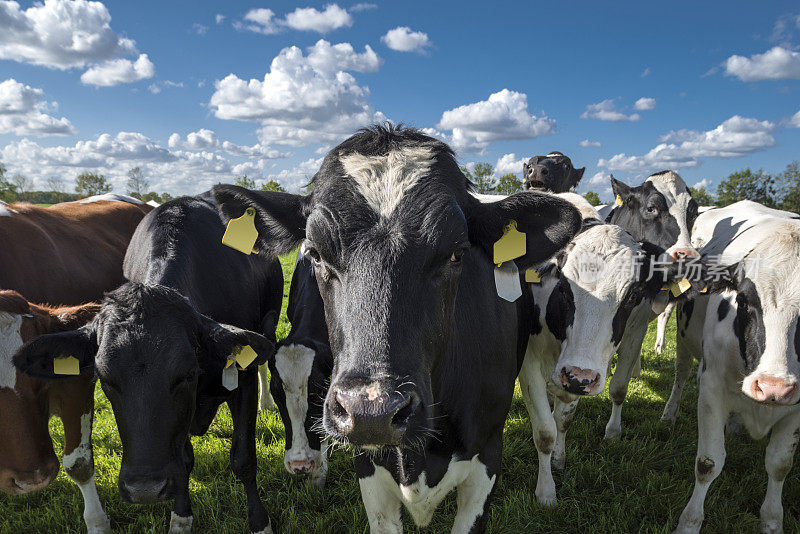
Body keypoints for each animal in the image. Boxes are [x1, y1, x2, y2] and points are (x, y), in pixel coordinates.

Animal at [13, 196, 284, 534]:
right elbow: (183, 462)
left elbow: (244, 458)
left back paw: (267, 403)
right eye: (105, 378)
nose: (144, 490)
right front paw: (180, 518)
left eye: (187, 374)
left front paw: (260, 523)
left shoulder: (242, 379)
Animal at [520, 194, 684, 506]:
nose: (579, 377)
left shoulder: (633, 334)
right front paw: (546, 492)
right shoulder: (530, 361)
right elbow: (545, 432)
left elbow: (596, 400)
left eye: (632, 294)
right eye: (563, 288)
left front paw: (604, 436)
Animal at [672, 203, 800, 532]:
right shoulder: (711, 390)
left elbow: (779, 465)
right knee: (681, 373)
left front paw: (772, 521)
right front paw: (689, 523)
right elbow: (708, 463)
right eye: (743, 300)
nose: (773, 387)